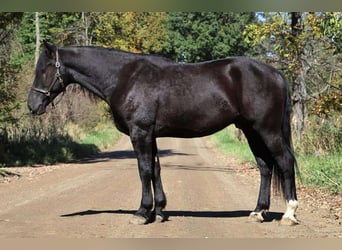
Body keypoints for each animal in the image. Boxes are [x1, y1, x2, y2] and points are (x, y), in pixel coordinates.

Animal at [27, 40, 300, 225]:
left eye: (44, 69)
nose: (32, 105)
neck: (125, 77)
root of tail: (276, 74)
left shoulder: (140, 133)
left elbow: (144, 170)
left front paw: (141, 212)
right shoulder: (151, 135)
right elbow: (156, 169)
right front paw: (158, 211)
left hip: (268, 131)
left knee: (285, 162)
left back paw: (289, 213)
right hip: (251, 131)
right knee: (265, 167)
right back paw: (258, 212)